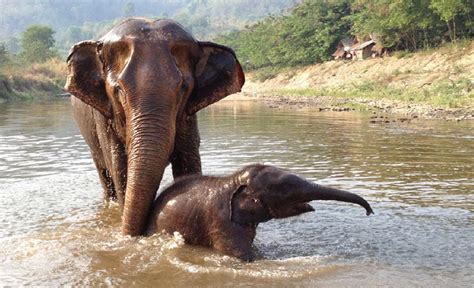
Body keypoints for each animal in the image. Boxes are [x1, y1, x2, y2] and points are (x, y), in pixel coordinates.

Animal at [65, 18, 244, 235]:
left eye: (183, 88)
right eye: (119, 90)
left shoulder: (188, 116)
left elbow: (188, 163)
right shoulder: (103, 117)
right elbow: (120, 169)